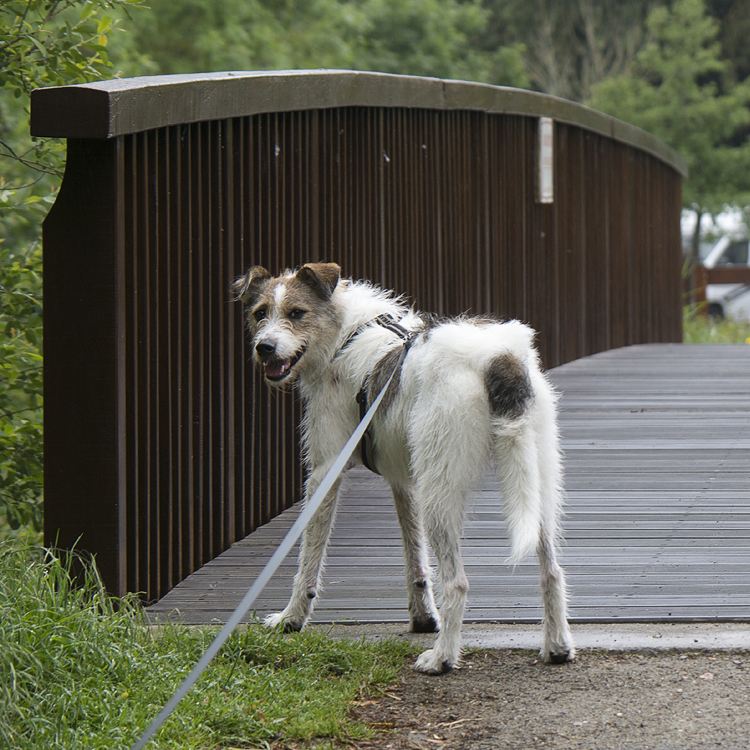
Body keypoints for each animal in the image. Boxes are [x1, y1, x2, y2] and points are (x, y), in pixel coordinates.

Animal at [235, 264, 576, 676]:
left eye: (297, 313)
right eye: (259, 313)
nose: (264, 347)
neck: (345, 334)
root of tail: (499, 357)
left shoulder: (325, 471)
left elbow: (308, 559)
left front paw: (291, 618)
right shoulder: (405, 482)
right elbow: (415, 557)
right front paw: (423, 618)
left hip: (440, 494)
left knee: (457, 582)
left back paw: (442, 657)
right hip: (534, 478)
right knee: (552, 570)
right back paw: (556, 646)